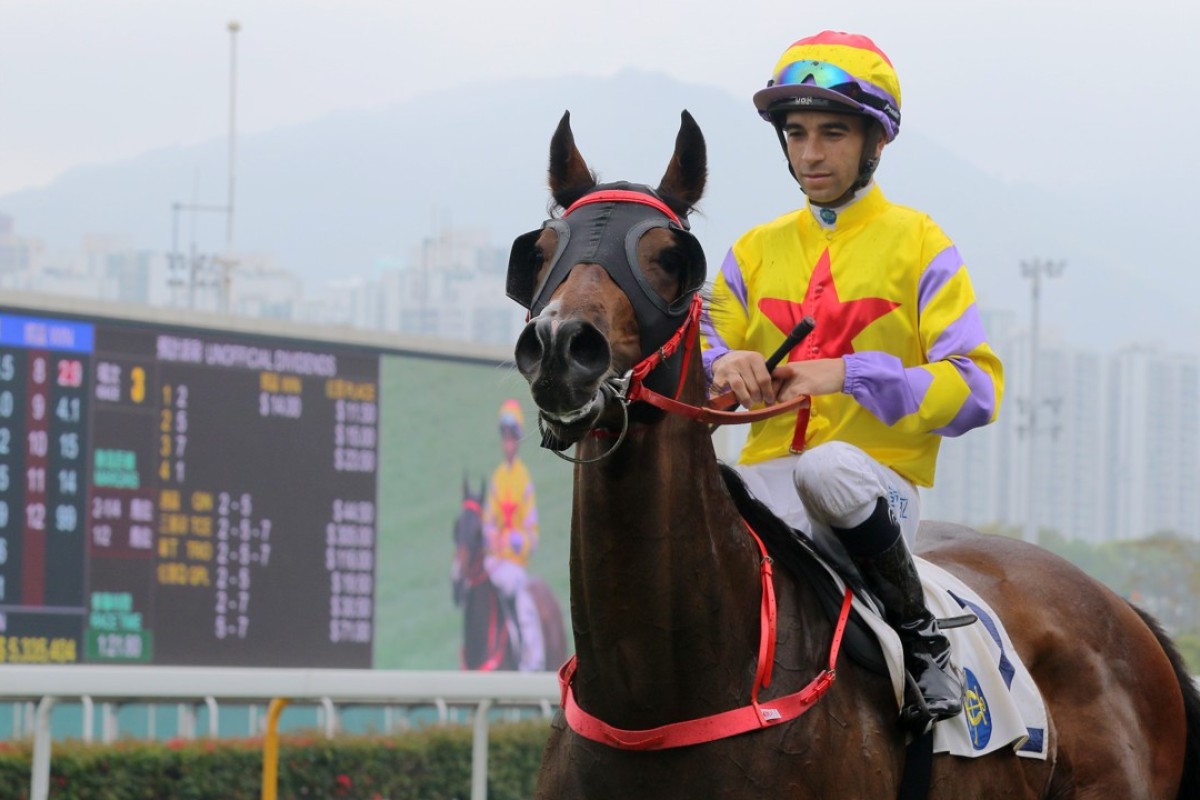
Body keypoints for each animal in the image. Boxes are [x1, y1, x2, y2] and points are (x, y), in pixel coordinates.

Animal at [506, 107, 1200, 800]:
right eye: (540, 252)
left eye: (671, 259)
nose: (562, 346)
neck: (658, 697)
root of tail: (1125, 609)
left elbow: (969, 372)